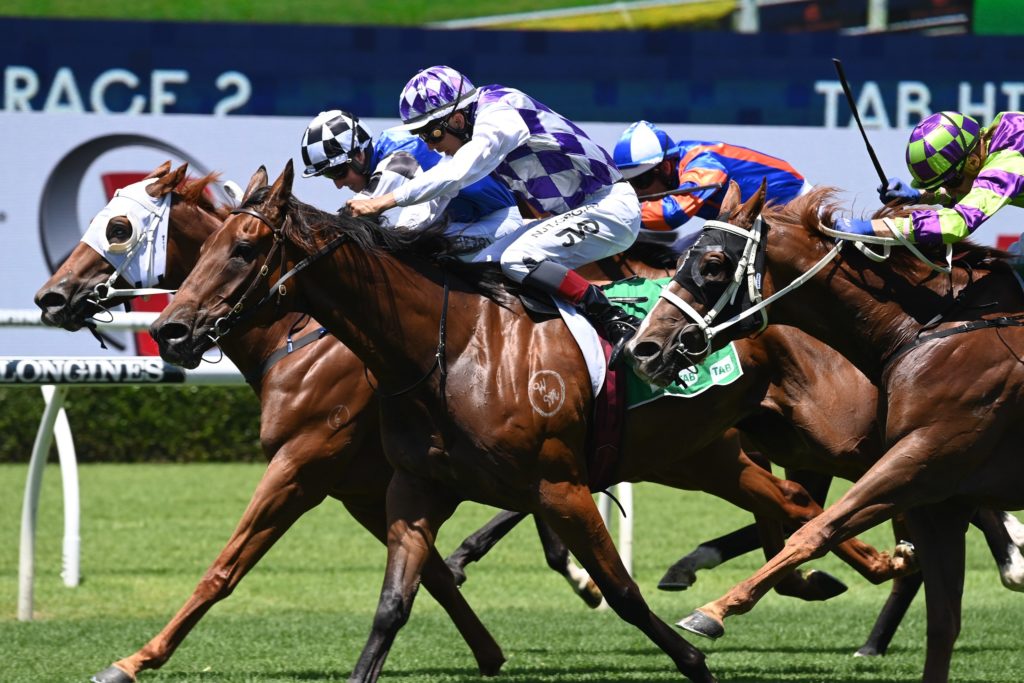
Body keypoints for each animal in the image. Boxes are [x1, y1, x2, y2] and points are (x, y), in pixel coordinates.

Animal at [149, 163, 913, 683]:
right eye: (208, 247)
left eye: (245, 249)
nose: (170, 329)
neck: (447, 348)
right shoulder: (410, 487)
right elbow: (395, 602)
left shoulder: (554, 482)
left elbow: (621, 591)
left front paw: (692, 656)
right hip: (701, 452)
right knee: (793, 502)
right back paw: (854, 570)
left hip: (831, 431)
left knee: (866, 487)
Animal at [626, 179, 1024, 679]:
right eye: (679, 262)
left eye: (713, 265)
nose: (644, 348)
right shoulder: (930, 492)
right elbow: (941, 620)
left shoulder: (918, 461)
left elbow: (815, 529)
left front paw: (713, 611)